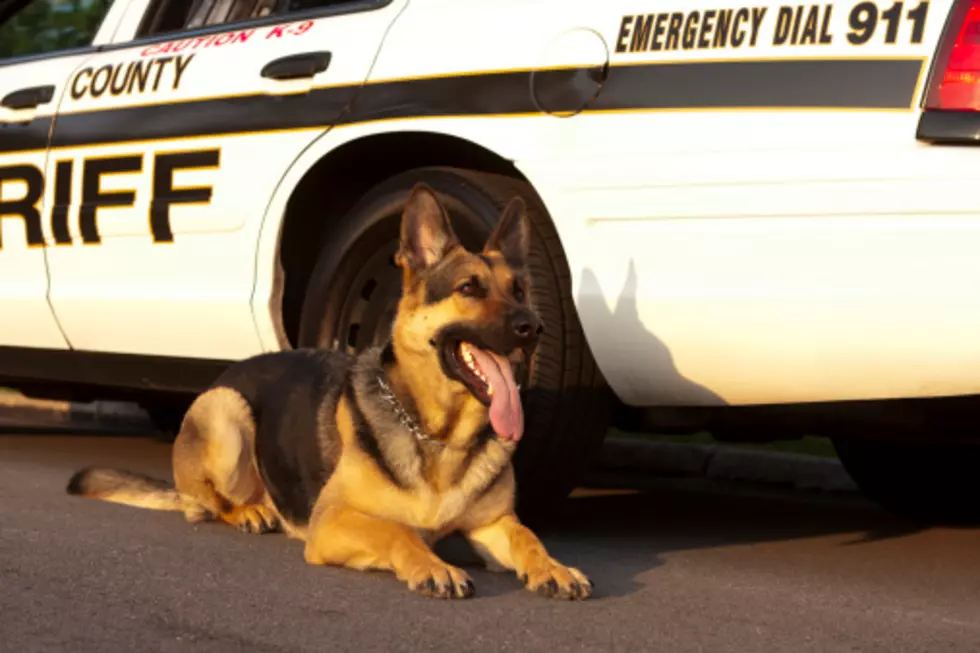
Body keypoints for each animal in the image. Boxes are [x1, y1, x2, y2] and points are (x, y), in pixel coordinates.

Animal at [69, 183, 592, 600]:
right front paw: (433, 565)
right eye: (470, 288)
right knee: (208, 505)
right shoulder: (332, 521)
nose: (534, 327)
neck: (437, 436)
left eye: (519, 290)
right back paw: (250, 511)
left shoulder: (491, 525)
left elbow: (528, 537)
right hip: (227, 413)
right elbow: (398, 531)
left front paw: (553, 567)